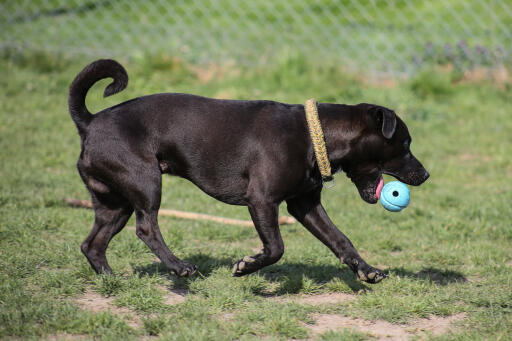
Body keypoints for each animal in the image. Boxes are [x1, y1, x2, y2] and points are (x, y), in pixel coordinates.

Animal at [68, 59, 428, 282]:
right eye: (405, 144)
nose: (425, 175)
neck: (315, 136)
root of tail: (90, 122)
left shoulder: (305, 204)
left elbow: (340, 239)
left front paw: (367, 270)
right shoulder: (262, 201)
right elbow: (276, 247)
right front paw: (247, 266)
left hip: (114, 203)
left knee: (92, 244)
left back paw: (111, 280)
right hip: (145, 183)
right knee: (146, 229)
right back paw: (179, 267)